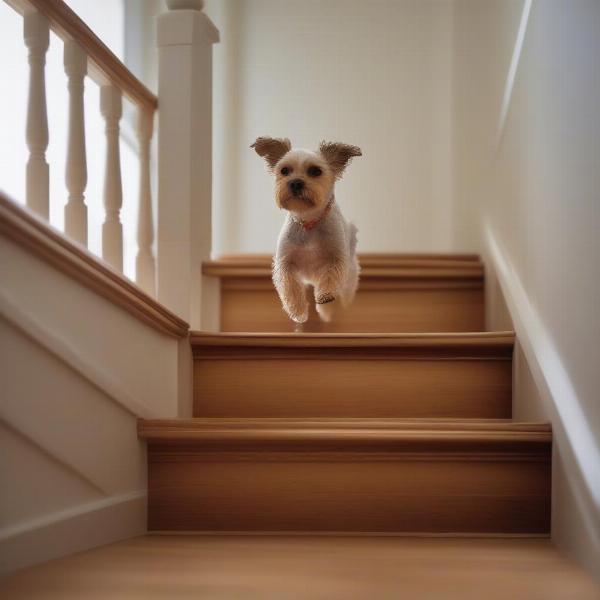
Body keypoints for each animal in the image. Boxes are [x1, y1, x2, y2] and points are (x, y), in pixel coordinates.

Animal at [252, 137, 360, 324]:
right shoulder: (285, 263)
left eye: (315, 171)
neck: (308, 221)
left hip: (349, 282)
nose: (295, 182)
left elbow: (329, 281)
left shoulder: (336, 260)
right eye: (284, 170)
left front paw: (325, 304)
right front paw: (298, 311)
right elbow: (290, 287)